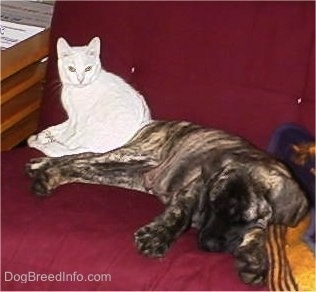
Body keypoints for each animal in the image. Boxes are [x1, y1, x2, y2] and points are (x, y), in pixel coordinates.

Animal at [25, 120, 308, 286]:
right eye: (212, 204)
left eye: (243, 218)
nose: (207, 245)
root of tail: (158, 122)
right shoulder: (193, 189)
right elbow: (178, 215)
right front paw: (157, 237)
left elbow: (261, 232)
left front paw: (254, 259)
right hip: (134, 154)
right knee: (83, 157)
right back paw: (44, 169)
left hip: (131, 173)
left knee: (82, 165)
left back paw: (46, 171)